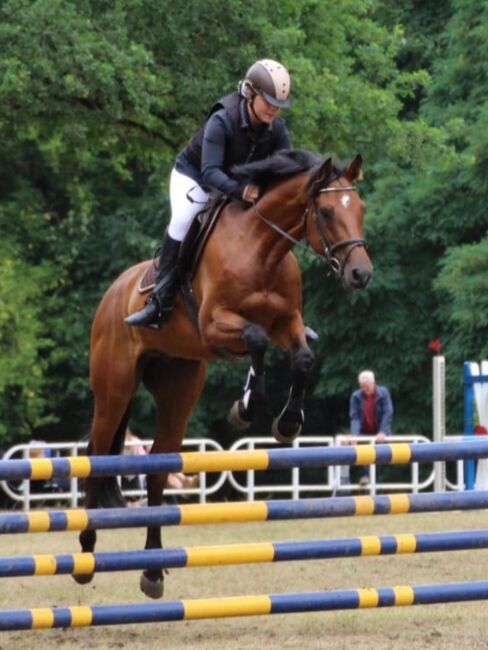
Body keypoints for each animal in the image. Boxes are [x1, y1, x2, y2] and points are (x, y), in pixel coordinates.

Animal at [74, 148, 374, 596]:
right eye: (324, 211)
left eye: (361, 208)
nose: (361, 274)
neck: (263, 248)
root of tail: (114, 291)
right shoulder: (216, 325)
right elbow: (255, 339)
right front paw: (247, 408)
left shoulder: (288, 322)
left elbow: (301, 358)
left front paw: (287, 422)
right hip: (114, 389)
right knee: (96, 457)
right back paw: (85, 555)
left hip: (178, 388)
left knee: (158, 470)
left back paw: (152, 572)